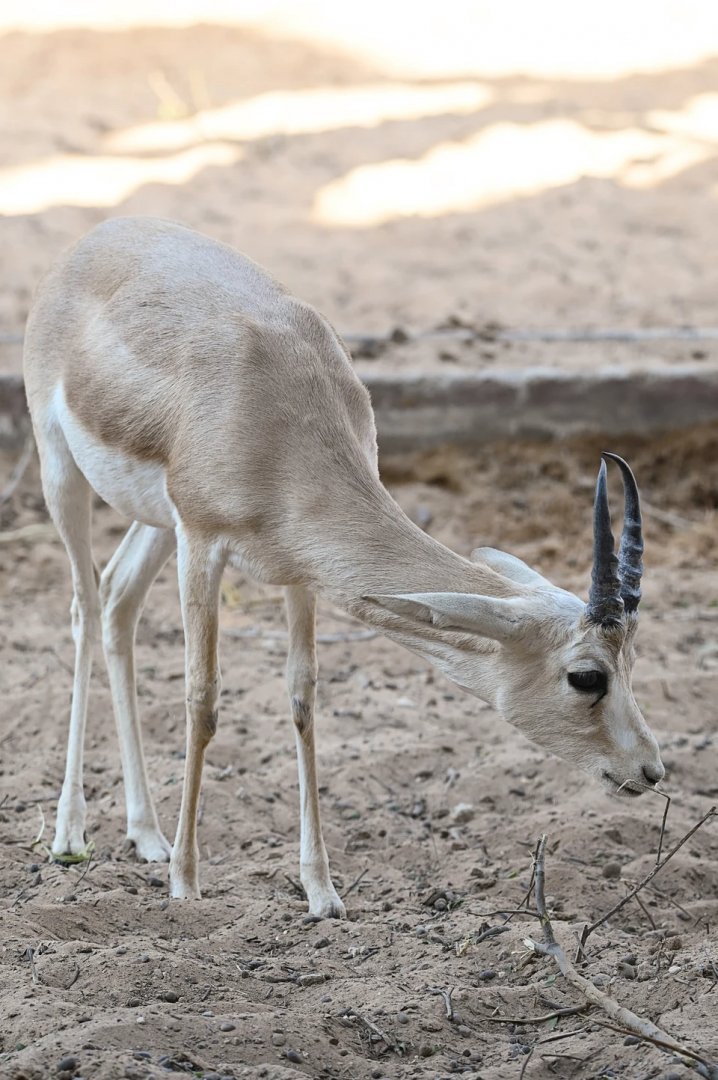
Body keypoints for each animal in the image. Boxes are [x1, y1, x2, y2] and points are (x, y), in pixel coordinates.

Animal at [23, 217, 664, 918]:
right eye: (586, 676)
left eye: (633, 661)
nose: (651, 771)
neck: (273, 413)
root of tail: (94, 239)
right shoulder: (203, 543)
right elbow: (202, 699)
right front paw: (187, 884)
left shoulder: (301, 571)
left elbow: (303, 698)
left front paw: (321, 891)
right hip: (64, 474)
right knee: (85, 609)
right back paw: (70, 835)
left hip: (155, 520)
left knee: (118, 600)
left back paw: (145, 835)